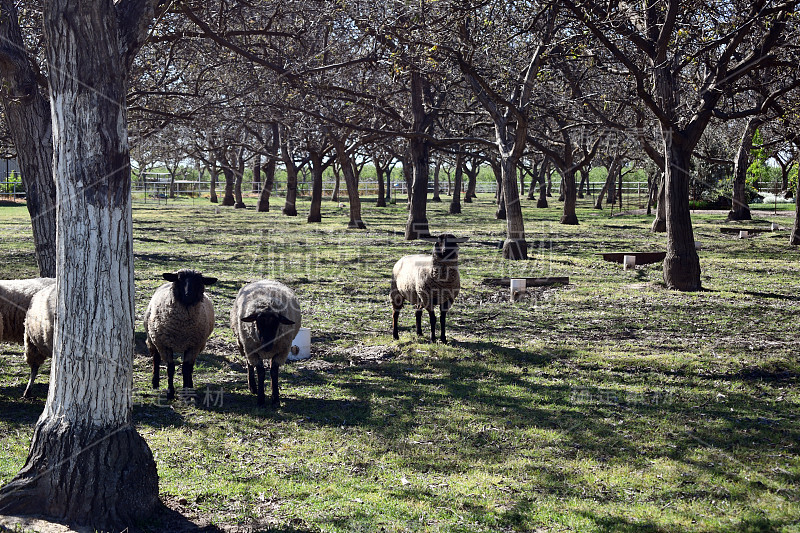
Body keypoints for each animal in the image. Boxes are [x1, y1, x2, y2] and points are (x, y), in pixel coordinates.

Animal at [145, 270, 217, 400]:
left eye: (198, 281)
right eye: (179, 279)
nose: (188, 295)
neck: (183, 327)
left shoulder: (193, 346)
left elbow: (186, 369)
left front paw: (186, 392)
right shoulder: (165, 345)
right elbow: (170, 368)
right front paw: (170, 393)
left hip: (198, 345)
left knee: (191, 367)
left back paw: (191, 385)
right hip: (152, 339)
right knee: (156, 359)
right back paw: (155, 383)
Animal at [230, 278, 302, 408]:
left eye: (276, 324)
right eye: (258, 323)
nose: (267, 346)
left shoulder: (281, 352)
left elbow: (274, 372)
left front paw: (275, 399)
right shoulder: (253, 351)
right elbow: (261, 372)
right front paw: (261, 399)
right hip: (244, 345)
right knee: (249, 364)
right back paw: (253, 387)